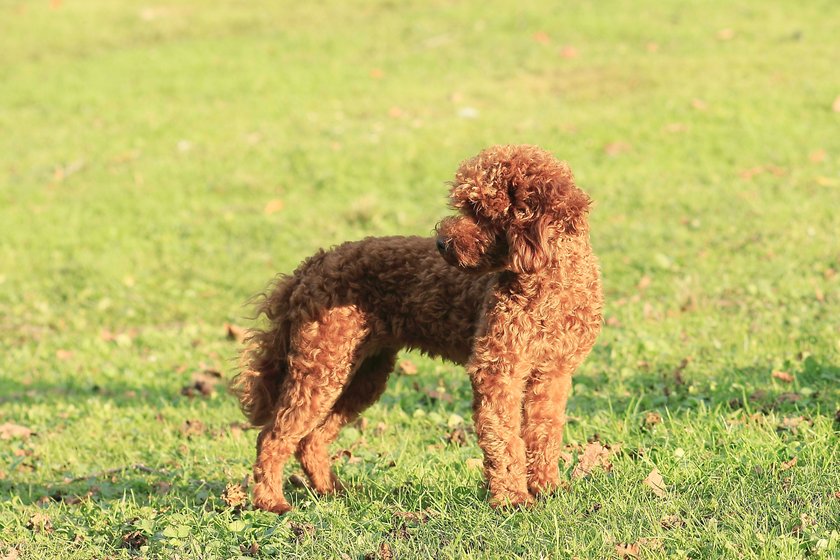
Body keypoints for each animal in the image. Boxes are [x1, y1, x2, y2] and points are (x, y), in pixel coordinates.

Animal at [235, 144, 604, 512]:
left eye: (479, 209)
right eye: (466, 205)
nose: (442, 243)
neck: (550, 285)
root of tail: (312, 264)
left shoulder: (552, 373)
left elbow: (545, 433)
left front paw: (547, 489)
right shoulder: (497, 369)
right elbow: (504, 439)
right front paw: (511, 498)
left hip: (362, 374)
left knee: (311, 439)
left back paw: (332, 491)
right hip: (321, 367)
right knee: (273, 436)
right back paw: (270, 500)